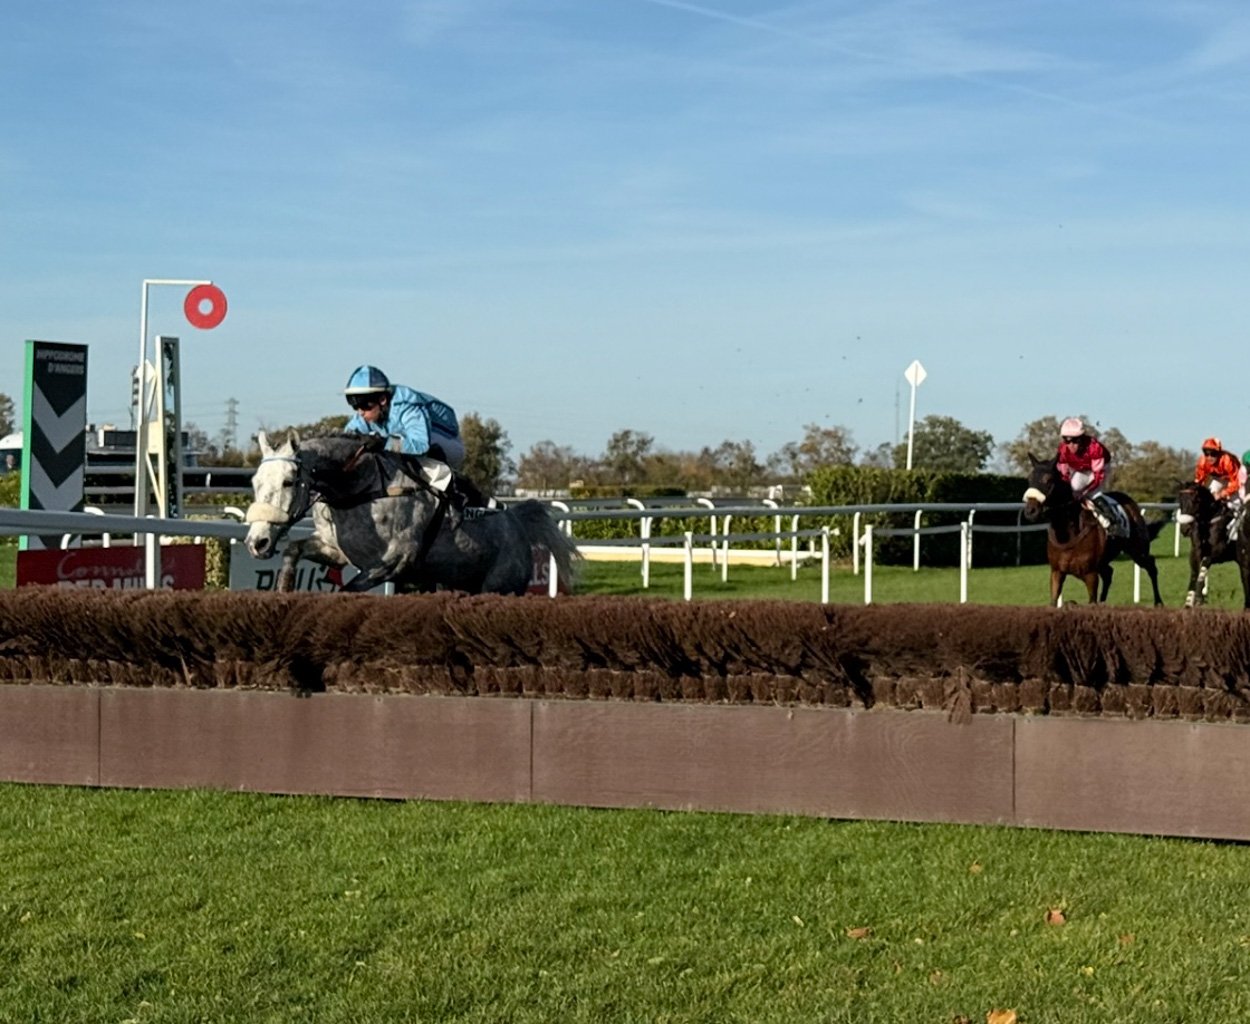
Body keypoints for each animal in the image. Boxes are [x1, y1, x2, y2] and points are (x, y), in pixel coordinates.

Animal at [244, 431, 580, 595]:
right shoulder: (337, 550)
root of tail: (517, 521)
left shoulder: (394, 561)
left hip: (501, 585)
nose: (257, 542)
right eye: (255, 482)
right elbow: (293, 549)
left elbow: (348, 591)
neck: (361, 488)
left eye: (288, 481)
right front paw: (284, 590)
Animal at [1021, 454, 1163, 606]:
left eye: (1048, 480)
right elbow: (1053, 601)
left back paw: (1158, 602)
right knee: (1108, 573)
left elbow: (1091, 601)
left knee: (1151, 565)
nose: (1030, 511)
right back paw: (1103, 602)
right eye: (1029, 479)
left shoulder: (1090, 575)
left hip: (1138, 551)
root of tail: (1131, 504)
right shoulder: (1056, 572)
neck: (1069, 533)